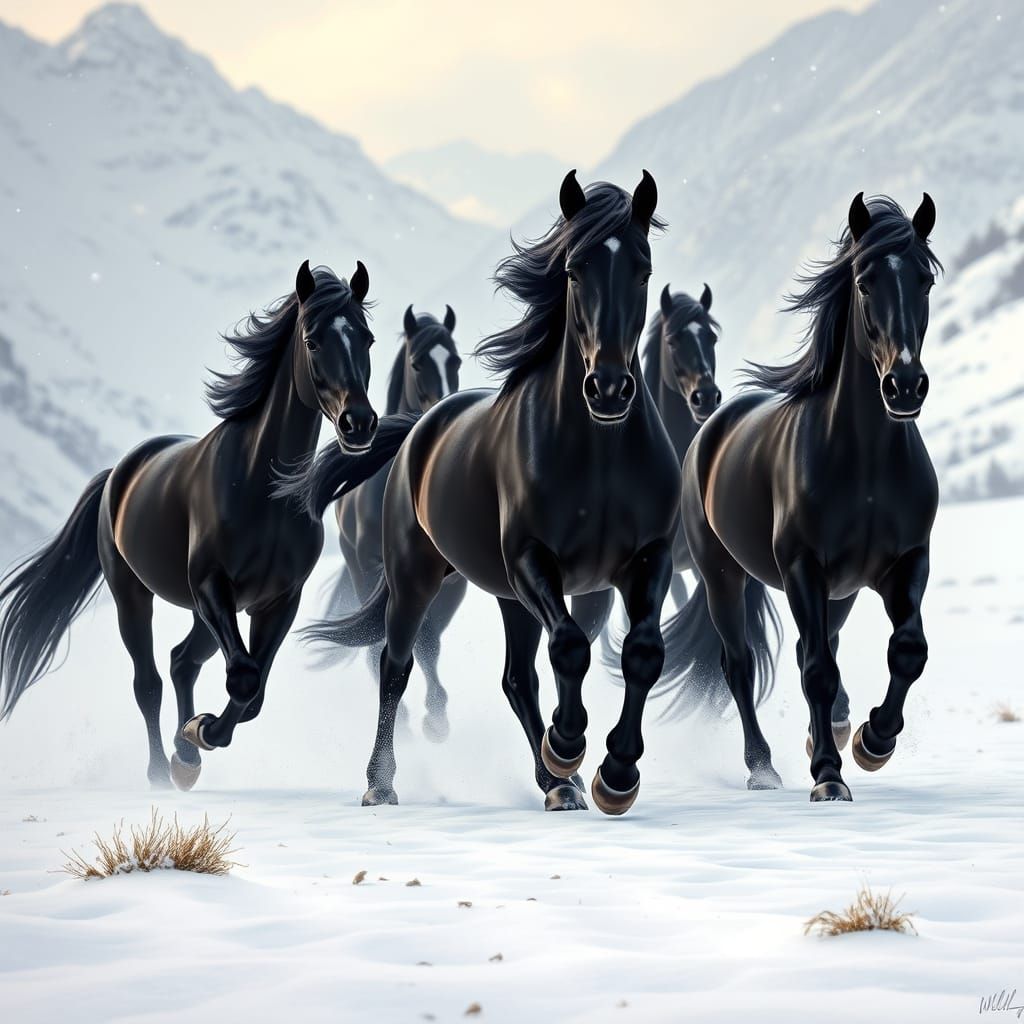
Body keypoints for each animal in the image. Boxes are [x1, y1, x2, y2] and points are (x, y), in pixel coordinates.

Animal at [0, 261, 378, 790]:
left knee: (183, 661)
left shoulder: (278, 600)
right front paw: (200, 732)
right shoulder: (211, 585)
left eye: (367, 338)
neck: (266, 492)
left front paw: (198, 734)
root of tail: (118, 473)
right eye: (313, 340)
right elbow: (243, 677)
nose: (358, 424)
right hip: (134, 595)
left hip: (205, 611)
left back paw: (185, 758)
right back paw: (163, 769)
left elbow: (254, 690)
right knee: (149, 681)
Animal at [327, 304, 464, 742]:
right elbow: (413, 641)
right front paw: (427, 717)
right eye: (418, 363)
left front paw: (436, 718)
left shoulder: (452, 584)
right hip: (360, 569)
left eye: (455, 360)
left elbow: (430, 641)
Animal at [660, 192, 941, 801]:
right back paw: (762, 767)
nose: (905, 386)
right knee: (740, 664)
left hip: (842, 591)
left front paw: (872, 742)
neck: (866, 464)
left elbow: (908, 649)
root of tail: (707, 431)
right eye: (865, 283)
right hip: (723, 574)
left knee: (816, 648)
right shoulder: (802, 568)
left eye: (926, 280)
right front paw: (830, 777)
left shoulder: (906, 563)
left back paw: (829, 731)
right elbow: (815, 670)